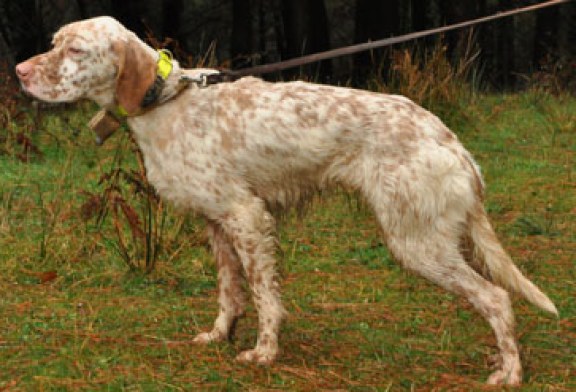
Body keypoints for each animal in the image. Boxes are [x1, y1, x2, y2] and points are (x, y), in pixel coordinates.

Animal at [16, 16, 560, 386]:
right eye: (53, 44)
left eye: (76, 49)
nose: (19, 71)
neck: (170, 101)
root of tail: (450, 139)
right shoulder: (218, 223)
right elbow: (230, 293)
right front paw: (220, 335)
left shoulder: (247, 217)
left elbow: (264, 296)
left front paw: (264, 352)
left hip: (417, 242)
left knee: (497, 298)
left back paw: (509, 372)